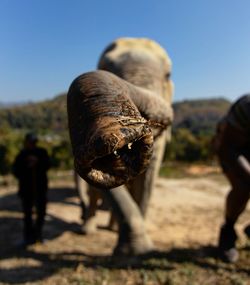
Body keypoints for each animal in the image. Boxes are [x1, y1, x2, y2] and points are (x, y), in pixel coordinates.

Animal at [68, 37, 174, 255]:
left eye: (168, 75)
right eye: (103, 67)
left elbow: (148, 180)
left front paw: (143, 251)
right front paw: (134, 251)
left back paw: (111, 228)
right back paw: (89, 230)